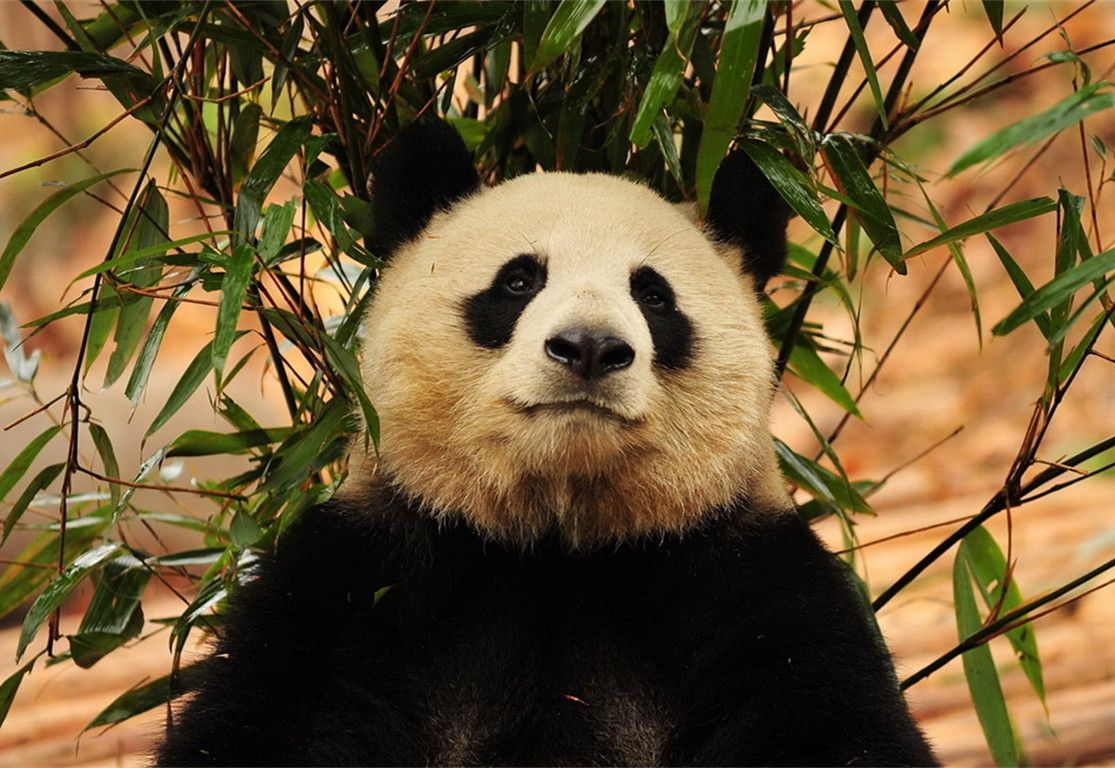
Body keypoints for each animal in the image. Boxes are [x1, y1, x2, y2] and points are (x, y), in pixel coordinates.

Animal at [156, 118, 937, 767]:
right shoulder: (365, 579)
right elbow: (265, 720)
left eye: (654, 295)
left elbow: (831, 727)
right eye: (518, 280)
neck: (558, 539)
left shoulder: (746, 580)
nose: (589, 347)